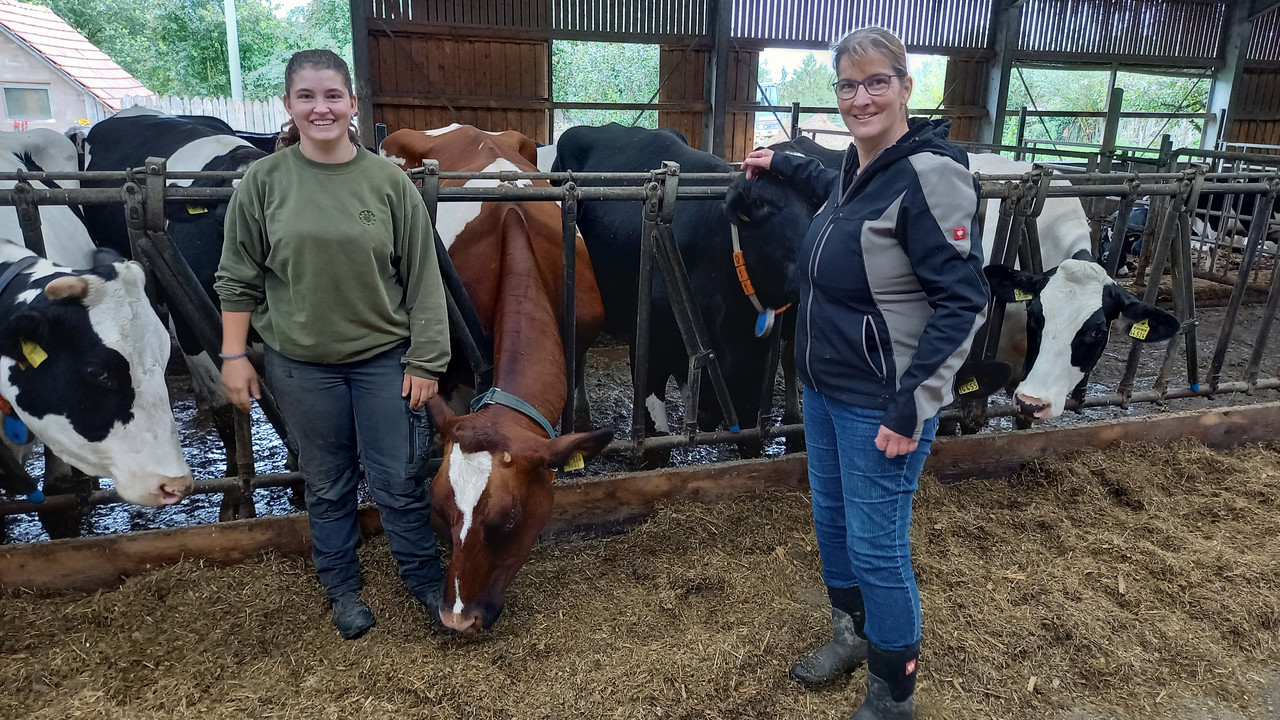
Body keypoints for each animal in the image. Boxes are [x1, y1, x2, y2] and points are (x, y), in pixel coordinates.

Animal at [381, 126, 611, 630]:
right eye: (438, 509)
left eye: (507, 521)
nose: (456, 619)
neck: (515, 228)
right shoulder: (456, 369)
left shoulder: (580, 339)